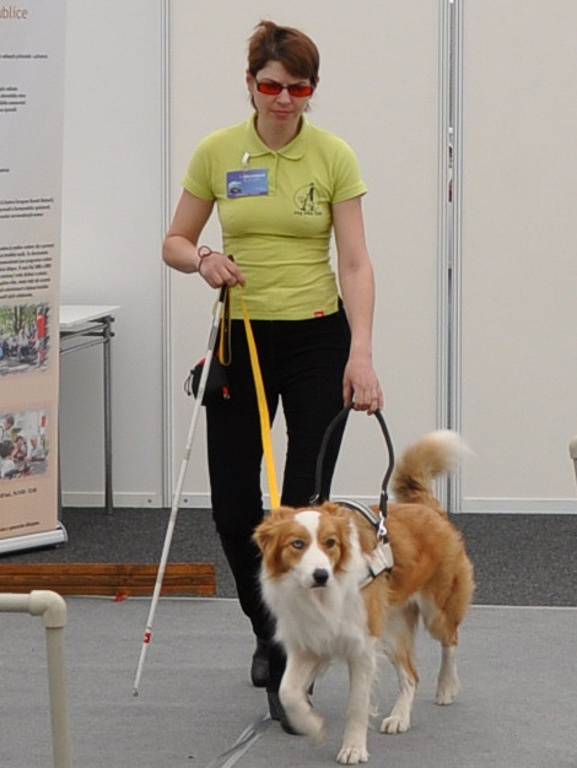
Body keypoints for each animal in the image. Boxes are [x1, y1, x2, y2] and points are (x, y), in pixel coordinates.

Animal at [254, 432, 474, 760]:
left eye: (330, 543)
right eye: (297, 544)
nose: (321, 575)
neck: (322, 595)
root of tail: (425, 507)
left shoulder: (361, 648)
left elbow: (357, 705)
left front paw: (353, 749)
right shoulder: (308, 641)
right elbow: (288, 692)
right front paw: (312, 725)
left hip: (436, 609)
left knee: (450, 640)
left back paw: (446, 687)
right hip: (392, 628)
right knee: (411, 674)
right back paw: (399, 718)